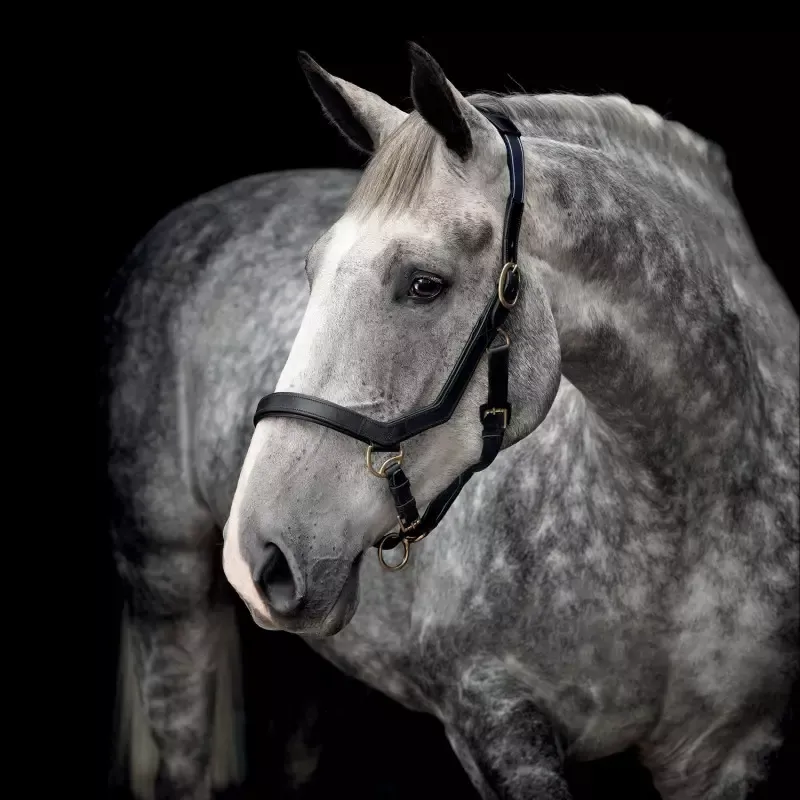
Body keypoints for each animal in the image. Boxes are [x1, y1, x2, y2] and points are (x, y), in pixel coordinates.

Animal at [105, 43, 798, 799]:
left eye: (424, 284)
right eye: (312, 272)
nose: (255, 553)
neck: (686, 498)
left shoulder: (727, 752)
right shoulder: (494, 721)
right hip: (168, 592)